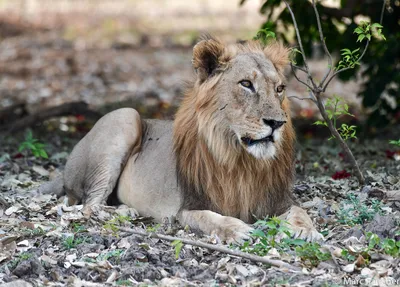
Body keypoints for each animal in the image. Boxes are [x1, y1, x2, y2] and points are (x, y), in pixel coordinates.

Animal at [40, 35, 322, 243]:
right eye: (246, 84)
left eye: (279, 89)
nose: (277, 123)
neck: (241, 160)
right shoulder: (185, 209)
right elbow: (211, 218)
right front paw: (237, 229)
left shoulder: (277, 200)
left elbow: (300, 211)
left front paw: (307, 231)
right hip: (125, 116)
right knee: (89, 204)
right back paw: (124, 212)